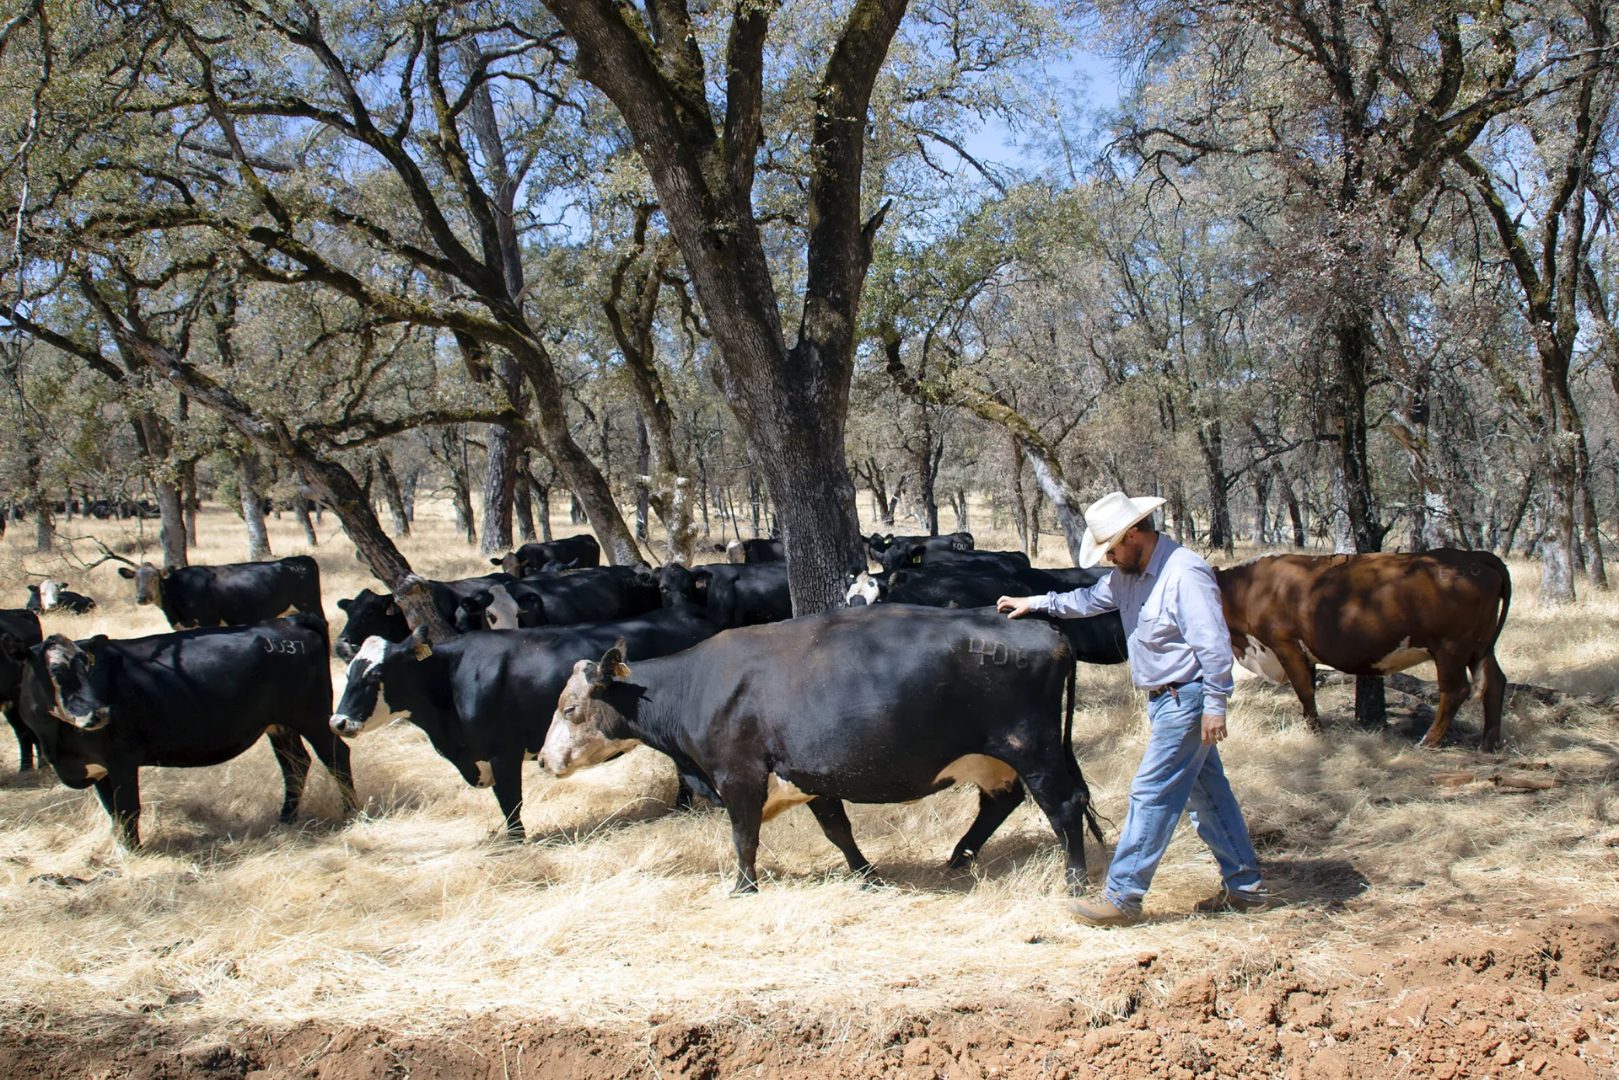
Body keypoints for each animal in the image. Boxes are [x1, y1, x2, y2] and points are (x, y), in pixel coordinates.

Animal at [118, 556, 321, 630]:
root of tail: (300, 559)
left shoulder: (208, 620)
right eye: (135, 579)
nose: (141, 597)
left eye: (155, 578)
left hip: (310, 604)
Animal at [329, 607, 720, 838]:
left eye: (376, 674)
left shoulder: (503, 753)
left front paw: (517, 841)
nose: (339, 721)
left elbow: (510, 801)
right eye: (349, 673)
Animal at [541, 605, 1104, 894]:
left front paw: (742, 887)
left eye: (569, 708)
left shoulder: (739, 776)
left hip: (1032, 748)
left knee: (1064, 805)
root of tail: (1038, 626)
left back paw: (1075, 881)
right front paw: (866, 874)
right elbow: (839, 831)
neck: (696, 686)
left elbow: (744, 837)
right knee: (1000, 803)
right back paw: (958, 858)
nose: (544, 760)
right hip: (996, 757)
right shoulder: (812, 778)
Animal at [1216, 549, 1512, 750]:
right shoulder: (1304, 653)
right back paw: (1489, 743)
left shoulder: (1285, 645)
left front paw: (1316, 732)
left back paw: (1429, 741)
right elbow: (1308, 690)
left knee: (1455, 690)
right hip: (1480, 647)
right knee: (1495, 682)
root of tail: (1473, 555)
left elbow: (1304, 690)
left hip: (1451, 648)